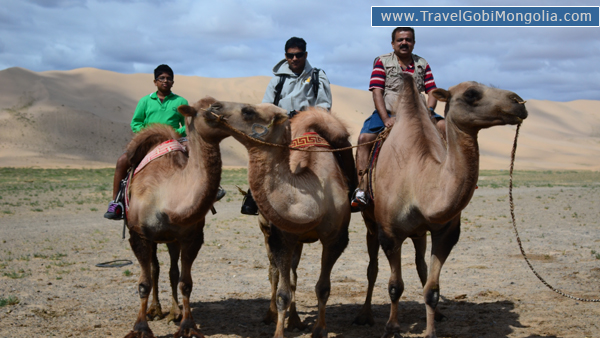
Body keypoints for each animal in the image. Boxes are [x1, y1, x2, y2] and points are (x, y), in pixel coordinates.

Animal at [123, 97, 230, 338]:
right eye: (213, 107)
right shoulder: (139, 235)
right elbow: (144, 283)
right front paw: (140, 328)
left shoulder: (191, 237)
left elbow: (185, 282)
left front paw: (187, 325)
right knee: (154, 269)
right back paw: (155, 310)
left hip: (171, 239)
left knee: (171, 271)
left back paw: (174, 312)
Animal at [205, 103, 352, 338]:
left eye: (248, 110)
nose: (213, 106)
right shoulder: (281, 238)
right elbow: (282, 291)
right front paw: (278, 331)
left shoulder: (335, 239)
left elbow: (322, 287)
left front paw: (320, 329)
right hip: (267, 232)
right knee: (274, 272)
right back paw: (271, 315)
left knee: (293, 275)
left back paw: (296, 321)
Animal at [354, 74, 528, 338]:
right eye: (471, 94)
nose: (519, 102)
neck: (419, 180)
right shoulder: (391, 233)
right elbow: (395, 286)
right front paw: (392, 328)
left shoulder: (446, 232)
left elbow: (432, 289)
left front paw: (431, 330)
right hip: (370, 221)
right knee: (372, 267)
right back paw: (364, 316)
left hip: (418, 233)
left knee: (421, 265)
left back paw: (438, 314)